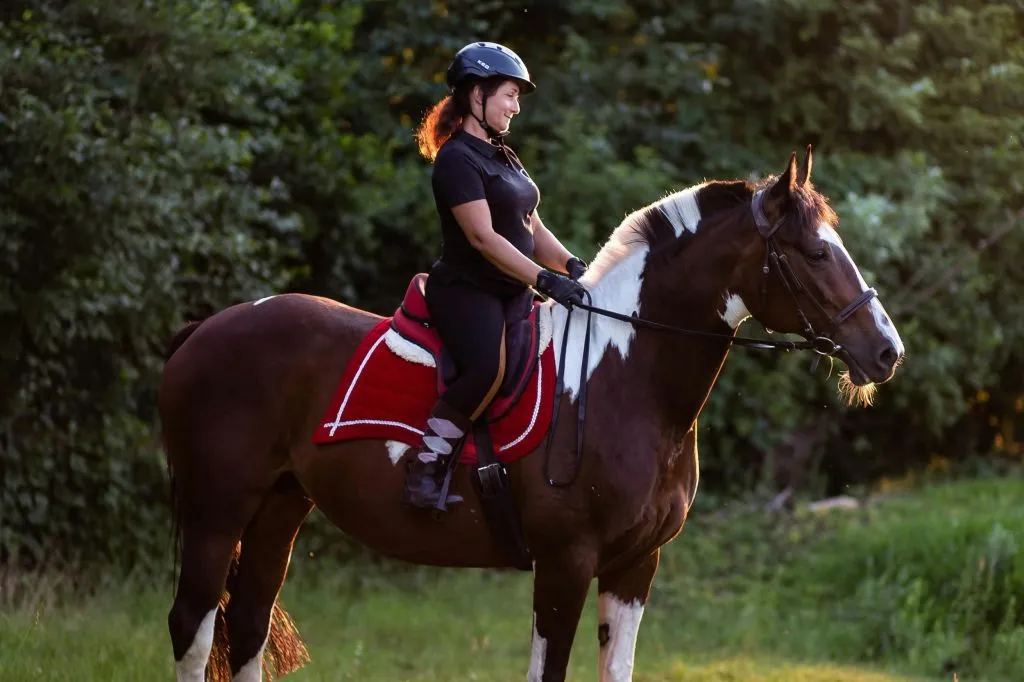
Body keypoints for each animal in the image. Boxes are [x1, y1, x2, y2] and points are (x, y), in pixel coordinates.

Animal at [160, 146, 904, 682]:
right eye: (816, 253)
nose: (886, 351)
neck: (623, 378)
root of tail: (203, 330)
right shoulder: (566, 562)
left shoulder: (636, 567)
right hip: (216, 510)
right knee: (193, 629)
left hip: (279, 506)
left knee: (247, 627)